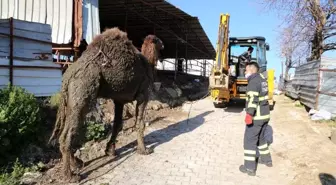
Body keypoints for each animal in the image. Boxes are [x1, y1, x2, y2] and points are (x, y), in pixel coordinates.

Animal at [49, 27, 164, 181]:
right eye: (158, 40)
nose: (163, 44)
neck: (148, 66)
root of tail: (68, 76)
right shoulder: (143, 95)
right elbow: (139, 124)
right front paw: (144, 150)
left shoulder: (119, 100)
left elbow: (118, 124)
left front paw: (110, 150)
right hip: (83, 93)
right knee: (69, 133)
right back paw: (70, 175)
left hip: (70, 101)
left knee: (66, 131)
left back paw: (77, 163)